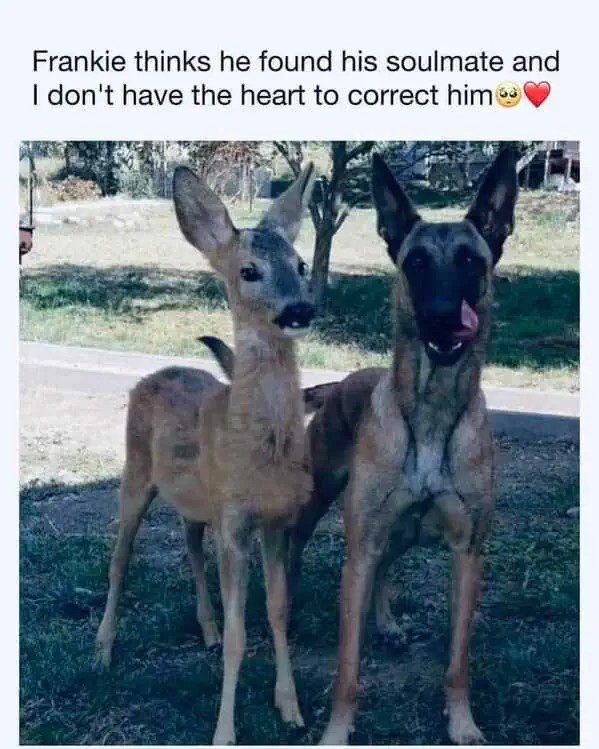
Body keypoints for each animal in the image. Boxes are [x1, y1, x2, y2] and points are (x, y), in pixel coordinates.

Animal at [94, 163, 316, 745]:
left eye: (301, 264)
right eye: (250, 270)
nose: (302, 308)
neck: (262, 456)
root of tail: (154, 374)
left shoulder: (276, 520)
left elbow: (277, 611)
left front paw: (291, 707)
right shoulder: (234, 516)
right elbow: (244, 631)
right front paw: (224, 731)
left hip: (196, 502)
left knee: (190, 544)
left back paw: (206, 627)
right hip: (134, 473)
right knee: (120, 557)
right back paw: (103, 648)